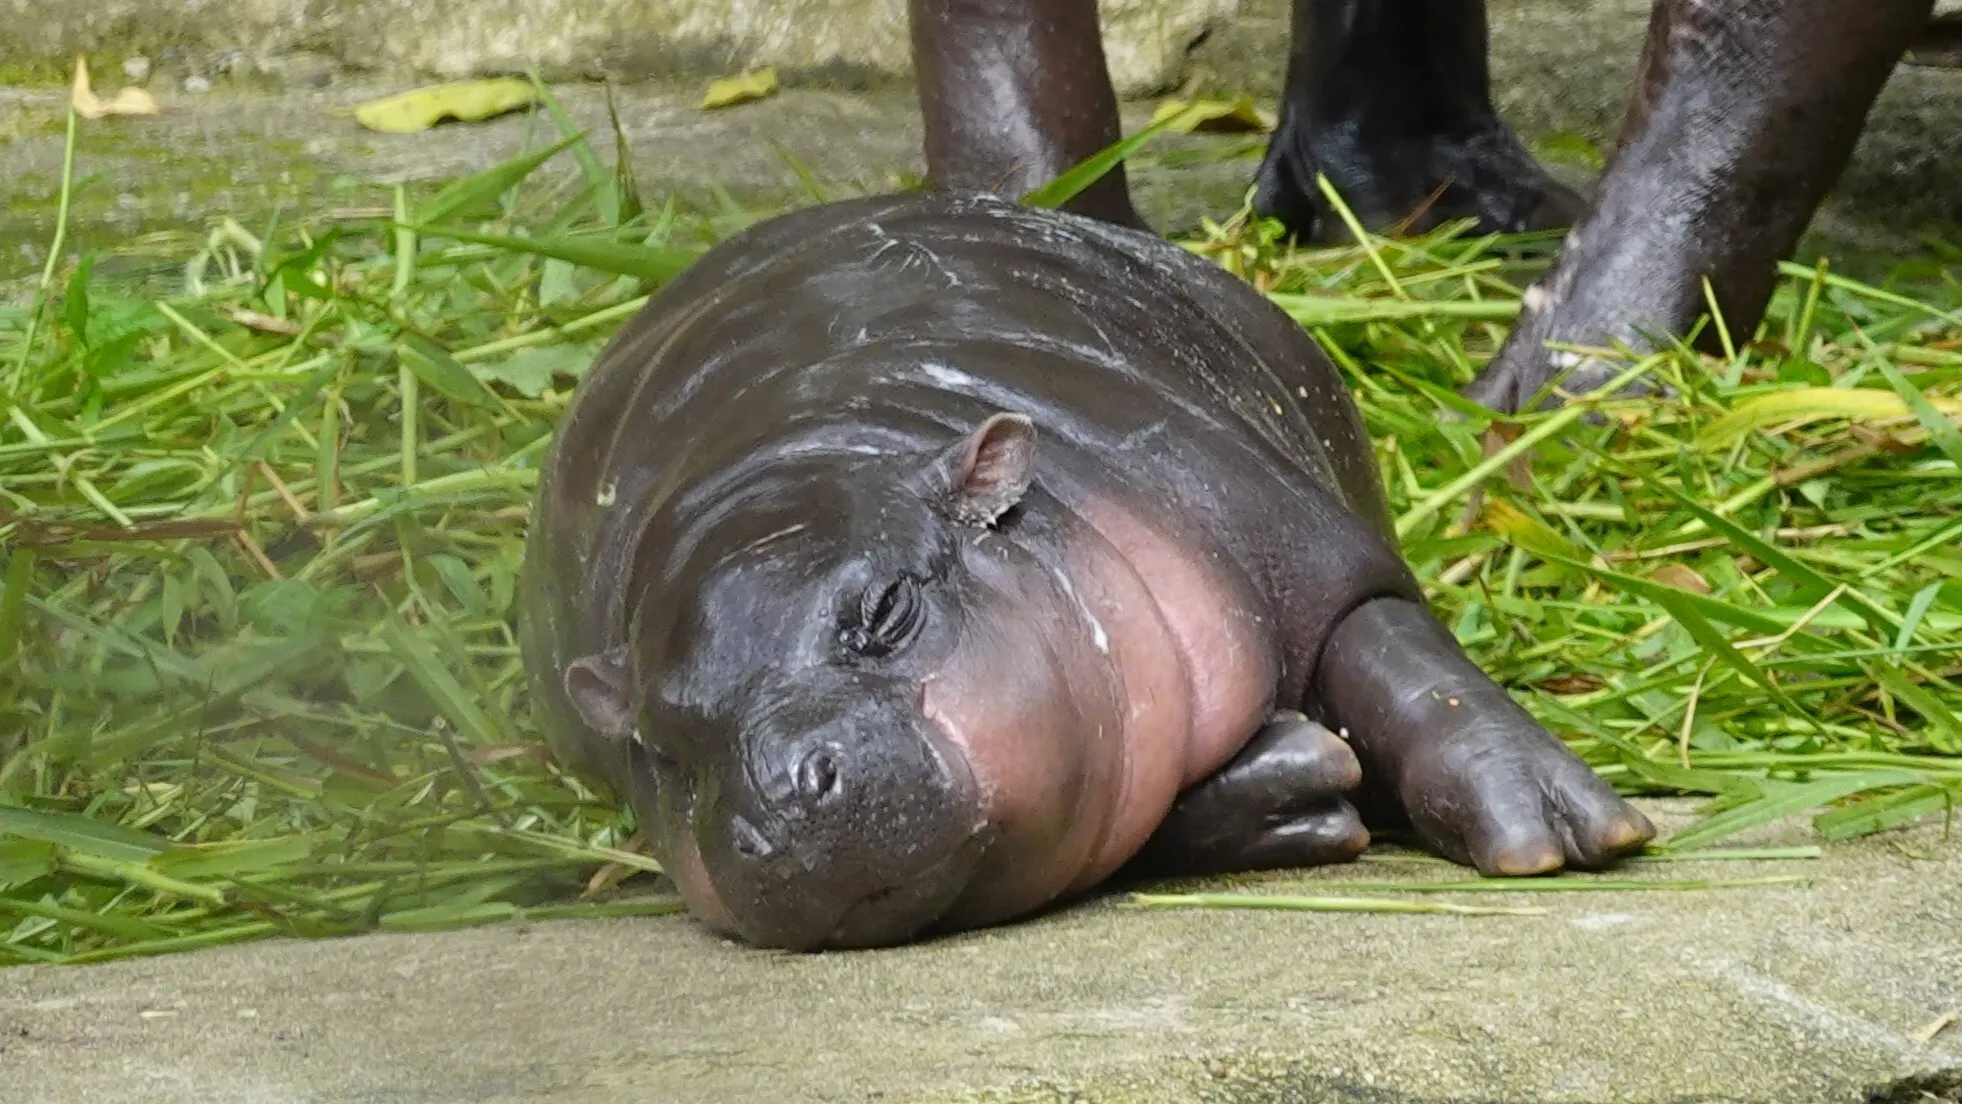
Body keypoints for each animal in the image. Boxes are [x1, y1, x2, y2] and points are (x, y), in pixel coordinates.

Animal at [515, 186, 1656, 949]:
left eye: (885, 607)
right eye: (658, 745)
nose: (781, 801)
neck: (797, 457)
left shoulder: (1271, 524)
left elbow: (1410, 668)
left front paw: (1556, 829)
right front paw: (1307, 778)